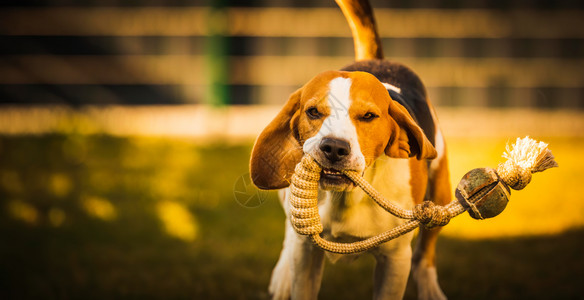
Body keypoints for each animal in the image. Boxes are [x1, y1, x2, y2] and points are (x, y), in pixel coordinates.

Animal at [250, 1, 452, 298]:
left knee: (425, 252)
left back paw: (429, 288)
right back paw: (283, 276)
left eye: (368, 116)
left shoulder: (395, 260)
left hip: (440, 193)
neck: (346, 197)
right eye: (313, 111)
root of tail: (379, 60)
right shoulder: (306, 252)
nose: (334, 148)